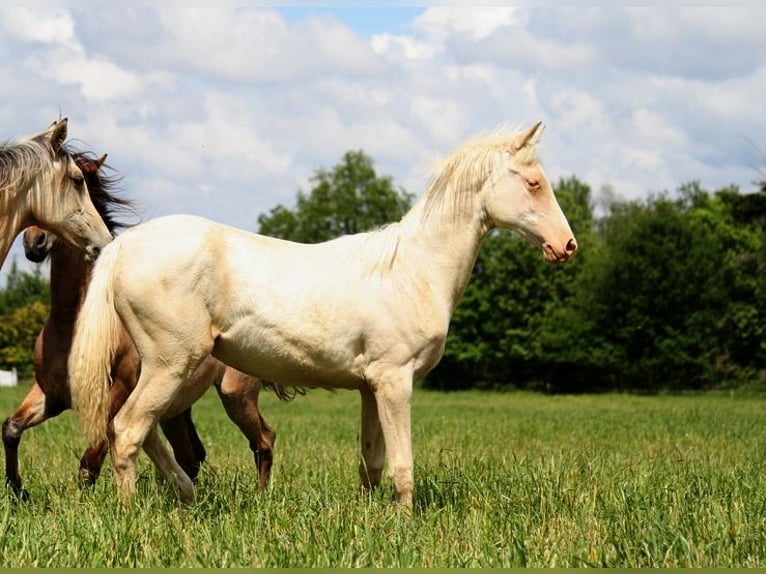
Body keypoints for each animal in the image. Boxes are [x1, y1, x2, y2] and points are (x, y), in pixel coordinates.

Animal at [2, 155, 292, 502]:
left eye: (82, 185)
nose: (35, 242)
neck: (72, 324)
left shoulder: (118, 391)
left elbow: (91, 459)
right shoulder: (50, 394)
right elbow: (11, 428)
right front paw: (18, 492)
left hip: (235, 396)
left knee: (263, 438)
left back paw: (260, 497)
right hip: (174, 406)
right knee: (192, 454)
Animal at [70, 121, 576, 508]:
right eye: (534, 183)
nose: (566, 245)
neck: (413, 269)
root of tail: (125, 246)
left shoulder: (371, 387)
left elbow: (372, 462)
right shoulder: (395, 381)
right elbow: (402, 463)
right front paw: (405, 522)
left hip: (172, 373)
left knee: (141, 431)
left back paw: (187, 495)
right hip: (172, 366)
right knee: (128, 430)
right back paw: (135, 512)